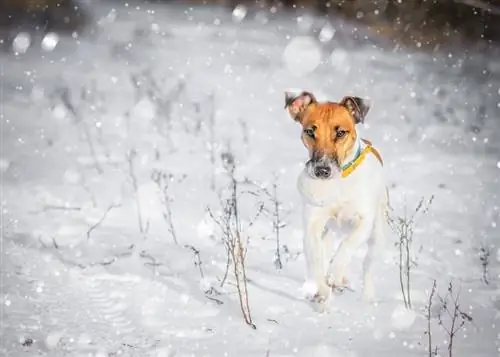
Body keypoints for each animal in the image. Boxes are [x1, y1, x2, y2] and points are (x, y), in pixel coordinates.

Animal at [284, 90, 388, 308]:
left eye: (341, 133)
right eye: (309, 131)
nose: (322, 170)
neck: (338, 182)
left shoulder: (364, 221)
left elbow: (347, 246)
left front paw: (335, 275)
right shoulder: (313, 224)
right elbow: (316, 261)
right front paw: (323, 290)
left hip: (377, 235)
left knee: (369, 267)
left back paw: (366, 298)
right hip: (327, 233)